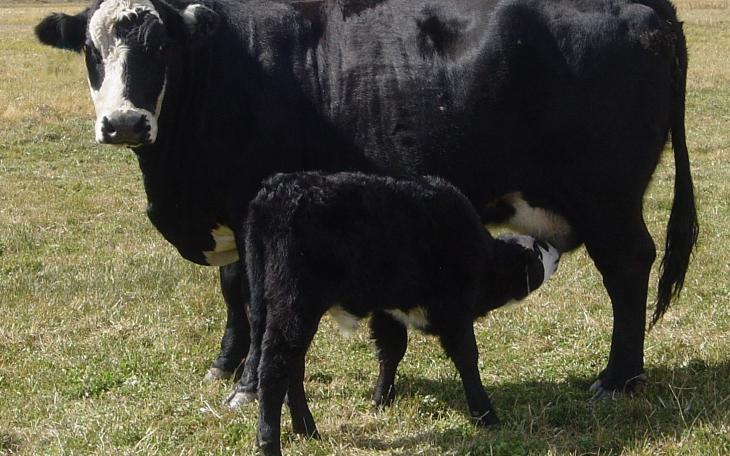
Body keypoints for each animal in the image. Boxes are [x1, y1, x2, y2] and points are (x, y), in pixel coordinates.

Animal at [34, 0, 697, 406]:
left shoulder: (253, 208)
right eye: (91, 52)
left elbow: (254, 297)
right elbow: (231, 292)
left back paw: (618, 377)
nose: (124, 123)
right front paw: (225, 363)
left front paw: (245, 385)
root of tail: (647, 8)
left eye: (159, 48)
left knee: (629, 268)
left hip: (607, 199)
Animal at [242, 171, 561, 454]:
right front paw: (486, 415)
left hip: (269, 303)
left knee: (292, 367)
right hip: (295, 306)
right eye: (537, 250)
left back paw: (307, 430)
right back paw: (270, 442)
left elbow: (391, 350)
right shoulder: (454, 310)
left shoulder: (389, 311)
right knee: (274, 368)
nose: (556, 250)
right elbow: (467, 358)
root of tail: (277, 189)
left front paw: (380, 400)